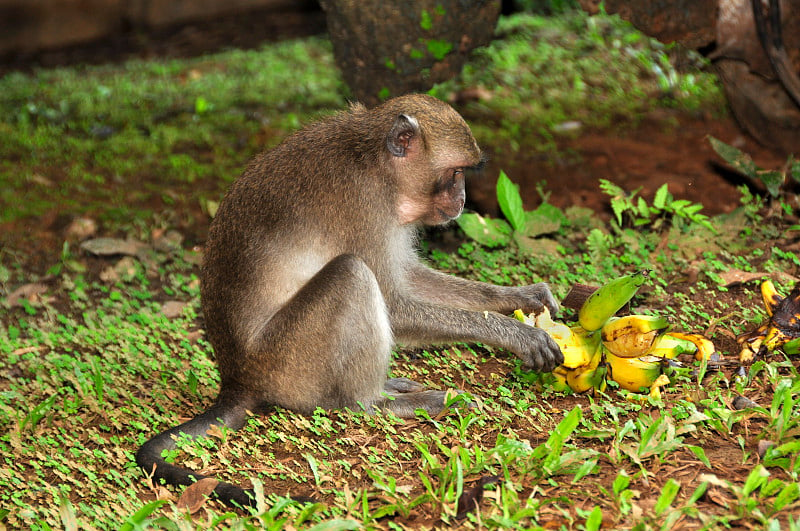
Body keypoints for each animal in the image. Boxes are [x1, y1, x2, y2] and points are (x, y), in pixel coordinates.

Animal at [138, 93, 564, 510]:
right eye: (456, 172)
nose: (461, 199)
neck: (376, 163)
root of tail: (237, 380)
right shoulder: (365, 204)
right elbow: (394, 304)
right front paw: (516, 333)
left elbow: (409, 280)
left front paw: (520, 297)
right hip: (289, 363)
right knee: (352, 275)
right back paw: (372, 402)